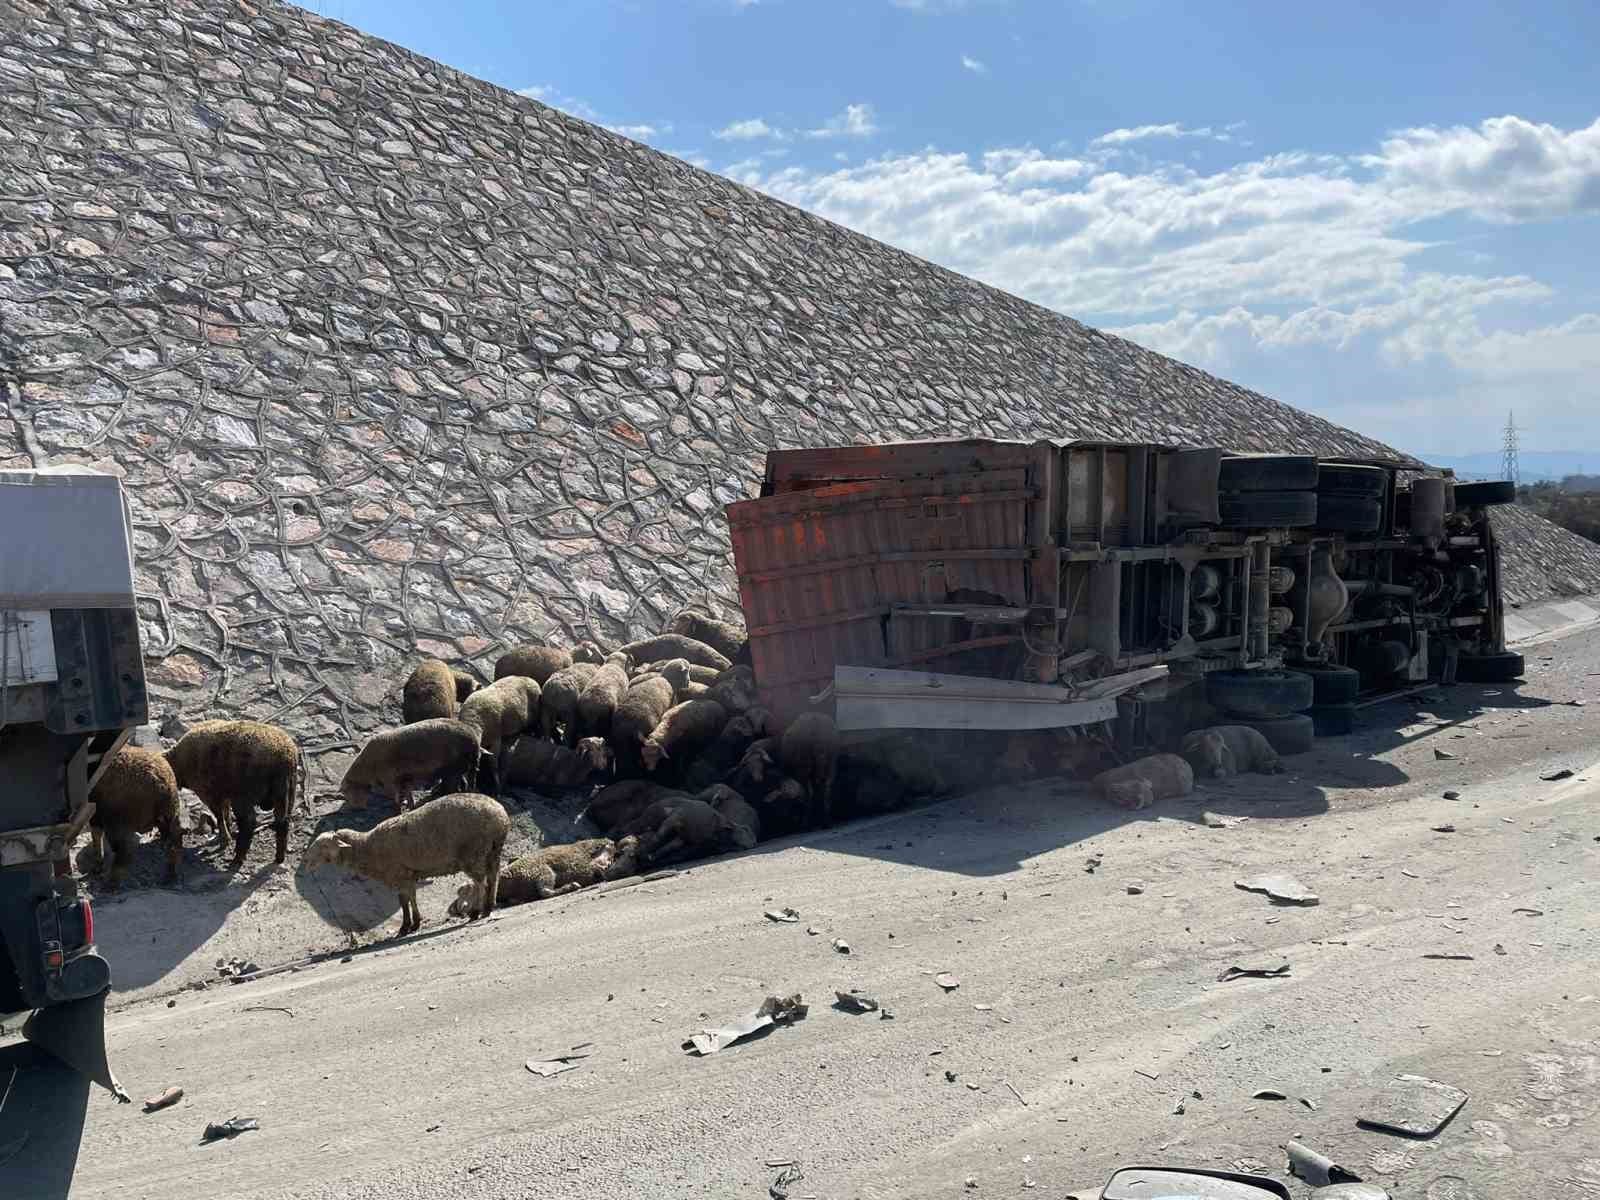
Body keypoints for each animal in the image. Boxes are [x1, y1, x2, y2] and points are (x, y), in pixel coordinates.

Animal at [90, 748, 182, 889]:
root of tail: (161, 785)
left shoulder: (98, 812)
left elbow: (96, 835)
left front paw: (97, 865)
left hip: (118, 821)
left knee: (123, 852)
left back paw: (111, 883)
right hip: (170, 814)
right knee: (173, 845)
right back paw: (170, 875)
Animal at [168, 720, 302, 870]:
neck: (177, 762)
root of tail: (284, 757)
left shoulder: (209, 793)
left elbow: (219, 816)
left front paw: (224, 839)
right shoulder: (223, 792)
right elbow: (225, 813)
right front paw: (225, 832)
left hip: (244, 795)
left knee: (249, 822)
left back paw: (238, 859)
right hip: (287, 791)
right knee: (283, 822)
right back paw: (279, 857)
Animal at [302, 793, 508, 947]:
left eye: (323, 846)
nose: (305, 862)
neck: (367, 848)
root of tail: (500, 814)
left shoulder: (398, 874)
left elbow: (405, 900)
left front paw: (407, 926)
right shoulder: (406, 876)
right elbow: (409, 899)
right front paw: (413, 923)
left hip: (472, 853)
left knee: (480, 882)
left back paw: (476, 912)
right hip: (493, 850)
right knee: (493, 877)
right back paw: (488, 907)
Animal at [340, 720, 483, 812]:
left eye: (346, 792)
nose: (354, 808)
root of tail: (474, 740)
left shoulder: (390, 778)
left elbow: (397, 794)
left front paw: (398, 808)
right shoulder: (405, 777)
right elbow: (407, 792)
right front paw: (410, 806)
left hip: (455, 766)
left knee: (454, 785)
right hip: (463, 767)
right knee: (466, 781)